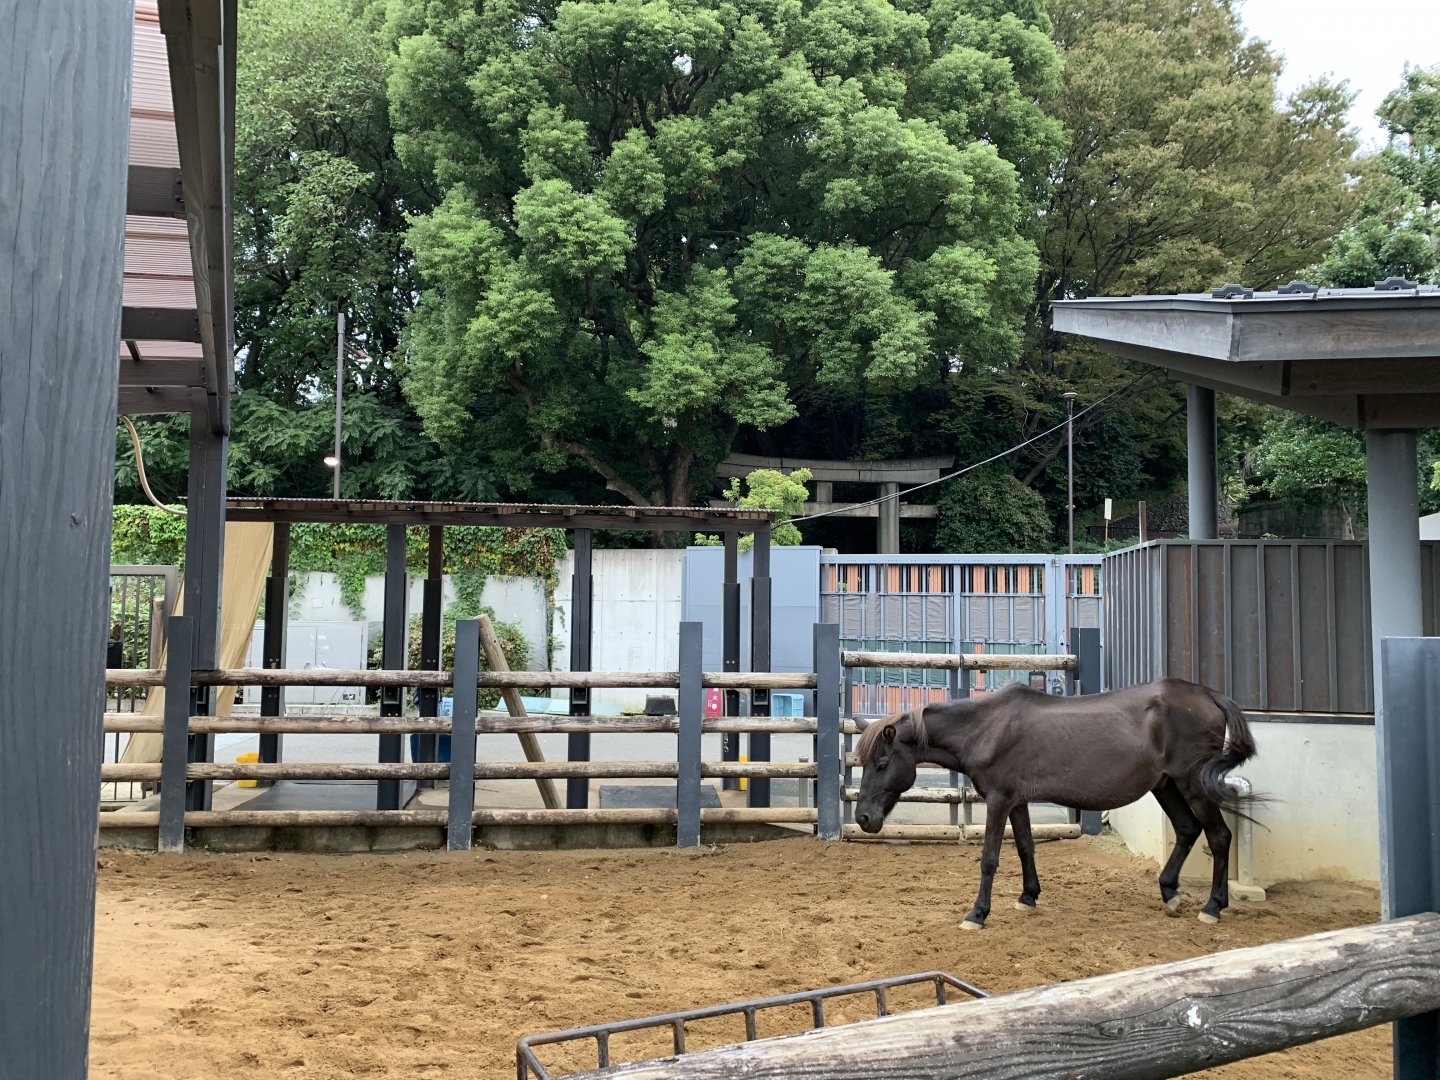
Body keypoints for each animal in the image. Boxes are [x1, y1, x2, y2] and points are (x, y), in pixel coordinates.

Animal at [853, 677, 1257, 929]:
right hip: (1167, 785)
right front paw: (1028, 896)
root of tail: (1208, 695)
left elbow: (990, 858)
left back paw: (1212, 907)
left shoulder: (998, 800)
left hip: (1192, 783)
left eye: (882, 762)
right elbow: (1026, 847)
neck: (986, 729)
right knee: (1188, 830)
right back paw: (1169, 891)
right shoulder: (1016, 802)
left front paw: (977, 914)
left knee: (1218, 837)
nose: (863, 817)